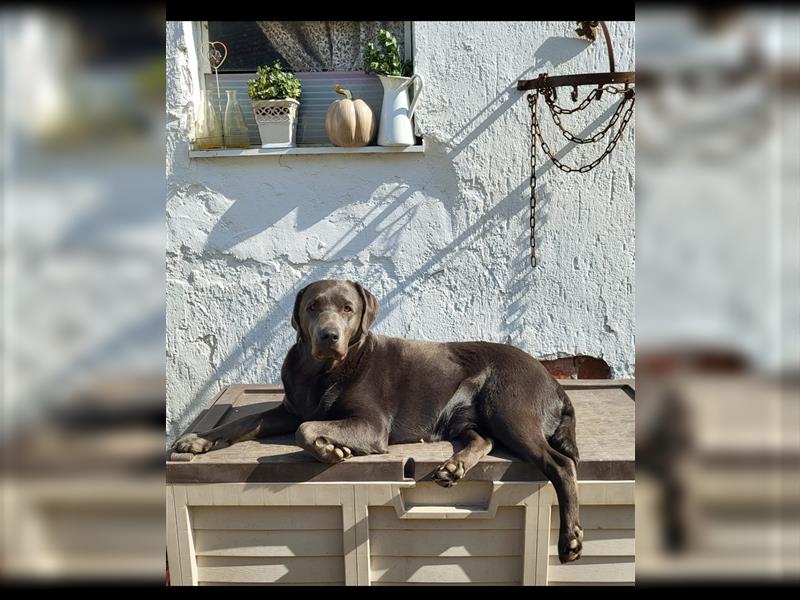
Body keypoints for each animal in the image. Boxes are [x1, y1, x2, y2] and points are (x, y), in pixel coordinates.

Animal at [173, 278, 580, 560]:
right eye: (313, 306)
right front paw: (197, 439)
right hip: (465, 418)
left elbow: (306, 430)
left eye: (347, 308)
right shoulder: (287, 410)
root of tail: (554, 382)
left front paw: (331, 450)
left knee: (560, 464)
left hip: (510, 411)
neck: (322, 372)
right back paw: (454, 468)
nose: (329, 335)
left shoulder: (370, 425)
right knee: (484, 439)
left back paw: (571, 539)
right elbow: (242, 422)